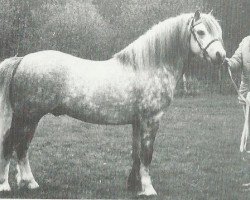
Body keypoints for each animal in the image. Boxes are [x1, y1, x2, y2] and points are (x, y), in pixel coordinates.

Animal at [0, 10, 227, 195]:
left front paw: (134, 186)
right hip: (27, 116)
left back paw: (29, 183)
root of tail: (22, 60)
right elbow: (146, 154)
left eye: (218, 32)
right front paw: (148, 189)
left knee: (22, 147)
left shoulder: (138, 121)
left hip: (29, 118)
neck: (148, 67)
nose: (220, 56)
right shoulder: (151, 120)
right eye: (200, 32)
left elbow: (136, 153)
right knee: (12, 144)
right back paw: (7, 185)